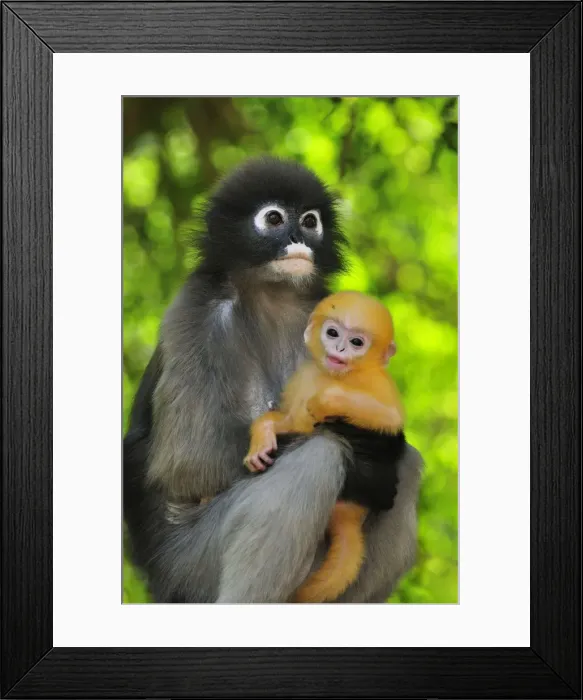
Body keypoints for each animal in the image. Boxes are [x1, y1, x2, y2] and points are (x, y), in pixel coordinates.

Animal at [243, 291, 404, 602]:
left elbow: (389, 418)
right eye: (333, 333)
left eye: (357, 342)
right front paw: (262, 438)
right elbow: (288, 420)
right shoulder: (302, 377)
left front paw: (325, 401)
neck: (335, 376)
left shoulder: (378, 384)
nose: (339, 348)